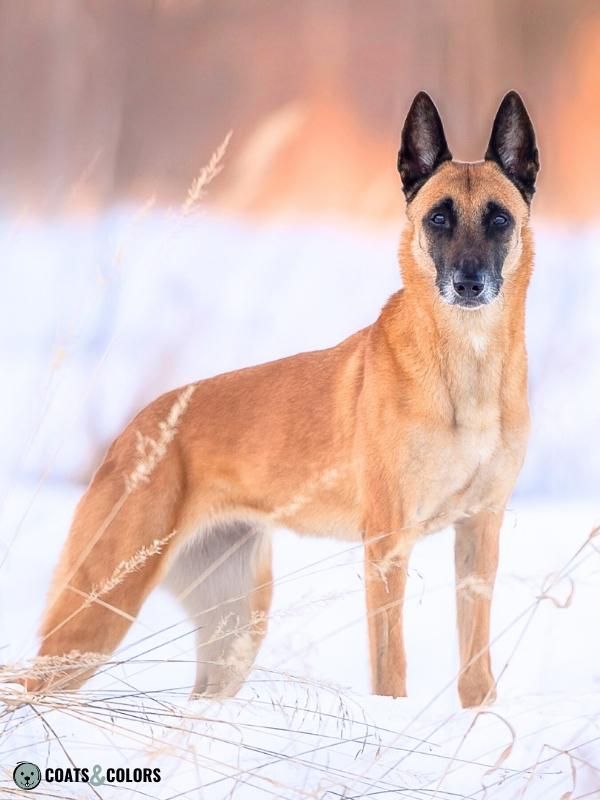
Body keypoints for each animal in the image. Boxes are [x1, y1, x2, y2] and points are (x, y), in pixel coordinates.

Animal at [28, 90, 540, 708]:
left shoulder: (479, 533)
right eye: (438, 217)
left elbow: (476, 671)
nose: (469, 284)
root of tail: (134, 429)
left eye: (499, 219)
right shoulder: (387, 545)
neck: (465, 369)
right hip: (102, 606)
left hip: (234, 628)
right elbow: (391, 667)